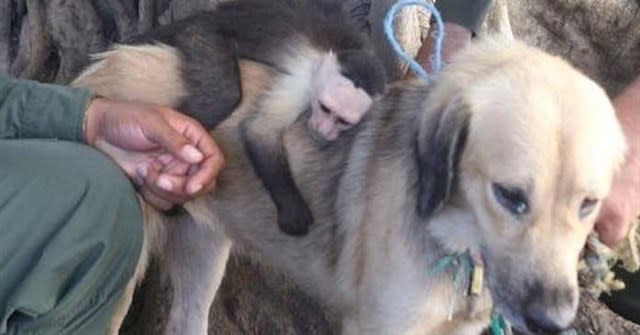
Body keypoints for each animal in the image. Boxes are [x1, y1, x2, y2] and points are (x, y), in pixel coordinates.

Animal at [72, 0, 388, 236]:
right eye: (325, 109)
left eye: (342, 121)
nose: (323, 131)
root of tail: (213, 15)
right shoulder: (302, 81)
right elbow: (259, 132)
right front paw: (293, 210)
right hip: (202, 36)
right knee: (223, 95)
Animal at [72, 37, 628, 335]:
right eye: (510, 196)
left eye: (588, 205)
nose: (554, 321)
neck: (457, 248)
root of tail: (99, 67)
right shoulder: (379, 325)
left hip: (203, 257)